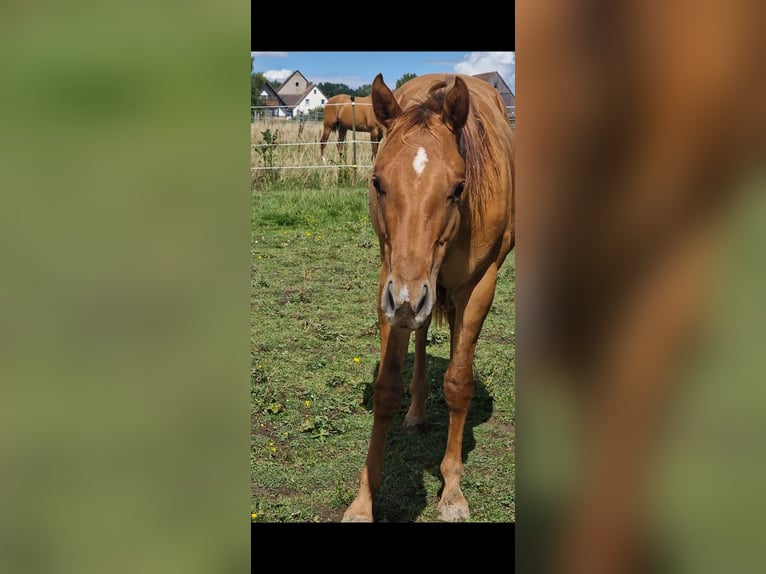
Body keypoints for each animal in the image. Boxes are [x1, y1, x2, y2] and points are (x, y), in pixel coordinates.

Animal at [341, 73, 515, 522]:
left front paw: (451, 490)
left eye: (458, 187)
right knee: (420, 338)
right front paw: (363, 501)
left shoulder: (479, 286)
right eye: (377, 182)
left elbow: (458, 382)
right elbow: (387, 389)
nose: (407, 298)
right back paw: (417, 413)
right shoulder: (390, 282)